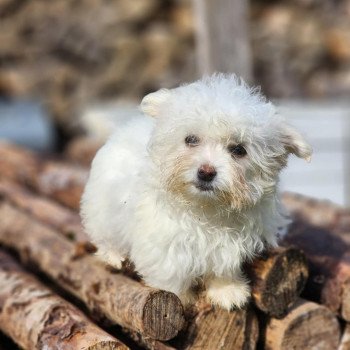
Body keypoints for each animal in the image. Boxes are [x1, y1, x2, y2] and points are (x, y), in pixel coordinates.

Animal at [81, 74, 312, 308]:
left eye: (239, 150)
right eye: (191, 139)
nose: (206, 172)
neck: (206, 209)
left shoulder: (230, 243)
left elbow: (224, 266)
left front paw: (228, 291)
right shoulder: (163, 241)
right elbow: (171, 274)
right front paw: (180, 299)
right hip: (104, 209)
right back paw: (113, 256)